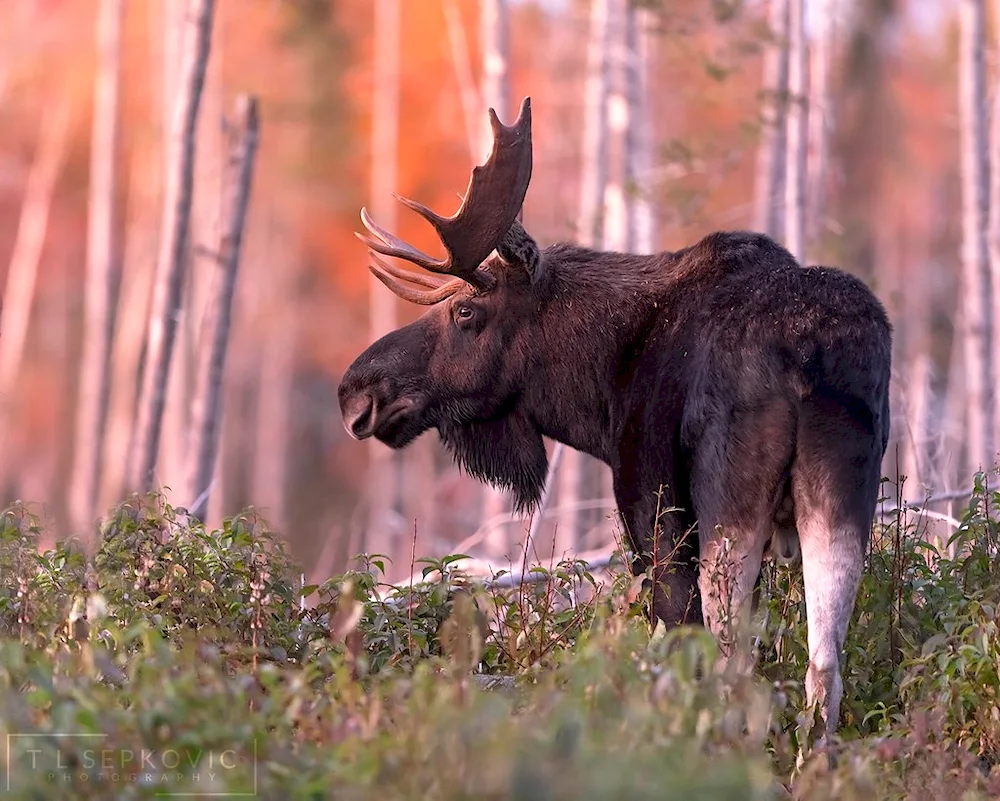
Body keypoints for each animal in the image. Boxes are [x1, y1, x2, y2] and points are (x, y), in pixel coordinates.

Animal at [340, 97, 896, 748]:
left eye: (466, 311)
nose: (356, 394)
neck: (600, 395)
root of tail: (808, 355)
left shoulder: (647, 499)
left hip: (727, 506)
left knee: (731, 661)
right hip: (845, 496)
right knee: (824, 664)